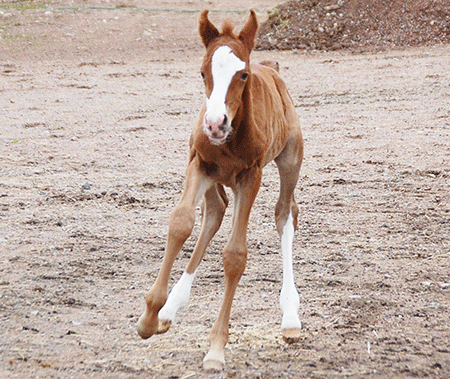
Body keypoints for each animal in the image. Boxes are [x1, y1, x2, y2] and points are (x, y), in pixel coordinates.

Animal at [137, 10, 304, 372]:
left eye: (243, 75)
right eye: (203, 72)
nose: (215, 124)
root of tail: (272, 67)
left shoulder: (250, 177)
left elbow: (235, 255)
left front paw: (216, 348)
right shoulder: (199, 164)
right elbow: (180, 223)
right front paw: (149, 316)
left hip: (290, 159)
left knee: (285, 214)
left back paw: (290, 317)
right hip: (213, 178)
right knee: (214, 213)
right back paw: (169, 309)